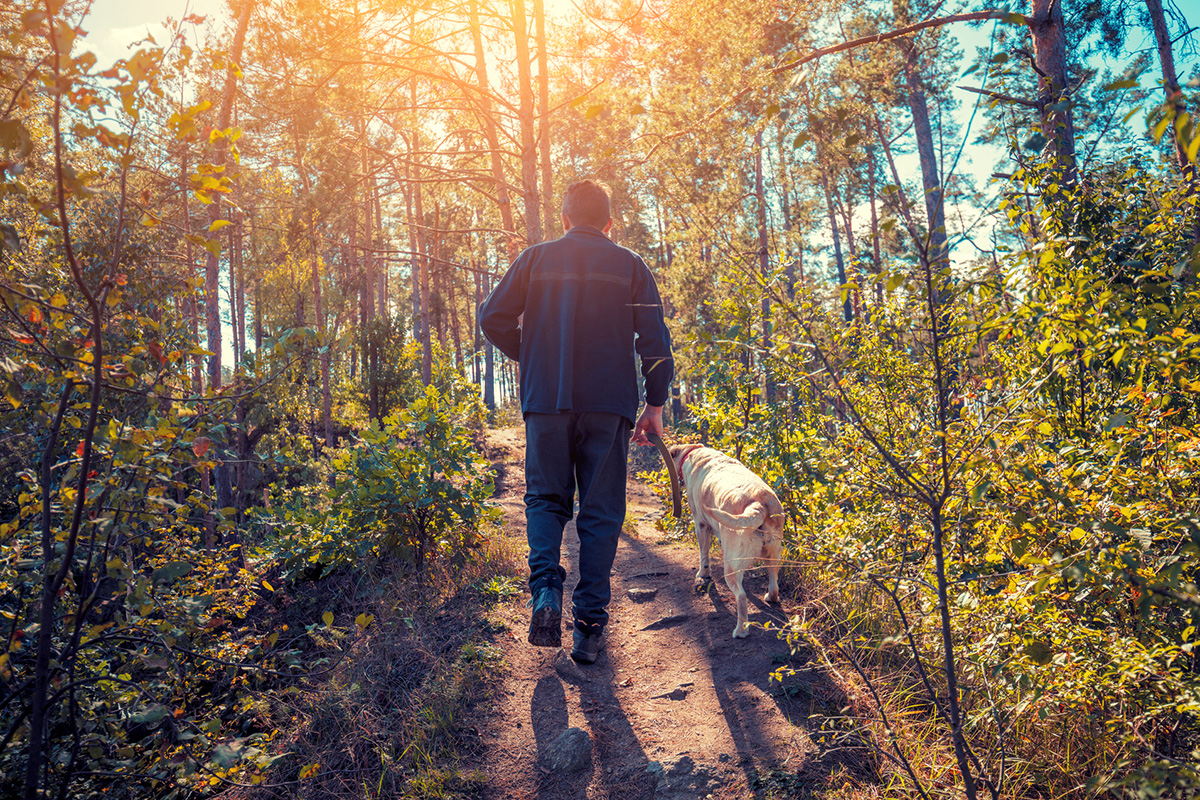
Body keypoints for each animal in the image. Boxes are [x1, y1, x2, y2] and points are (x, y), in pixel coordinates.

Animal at [667, 443, 787, 638]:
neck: (693, 452)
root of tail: (757, 505)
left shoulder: (701, 525)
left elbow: (704, 555)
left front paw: (703, 574)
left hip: (730, 565)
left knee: (741, 597)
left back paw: (740, 631)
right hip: (773, 554)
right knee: (774, 581)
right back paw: (771, 598)